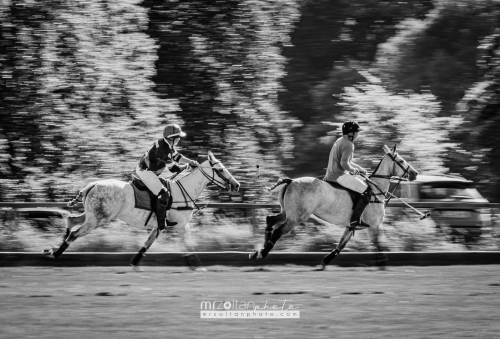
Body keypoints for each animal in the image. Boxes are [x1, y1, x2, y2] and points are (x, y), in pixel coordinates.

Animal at [42, 152, 241, 270]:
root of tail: (93, 184)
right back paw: (56, 253)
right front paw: (197, 266)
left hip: (92, 215)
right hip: (98, 219)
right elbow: (188, 245)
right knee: (74, 233)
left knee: (71, 220)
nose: (236, 185)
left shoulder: (160, 226)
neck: (184, 190)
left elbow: (147, 244)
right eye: (220, 169)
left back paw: (52, 250)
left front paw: (135, 263)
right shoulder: (182, 225)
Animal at [249, 145, 418, 270]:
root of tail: (291, 181)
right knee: (278, 230)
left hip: (287, 212)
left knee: (270, 219)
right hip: (297, 217)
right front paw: (382, 263)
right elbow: (378, 243)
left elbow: (341, 245)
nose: (415, 173)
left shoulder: (351, 226)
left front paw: (324, 262)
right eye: (401, 161)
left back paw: (258, 251)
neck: (376, 190)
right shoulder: (375, 225)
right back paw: (263, 252)